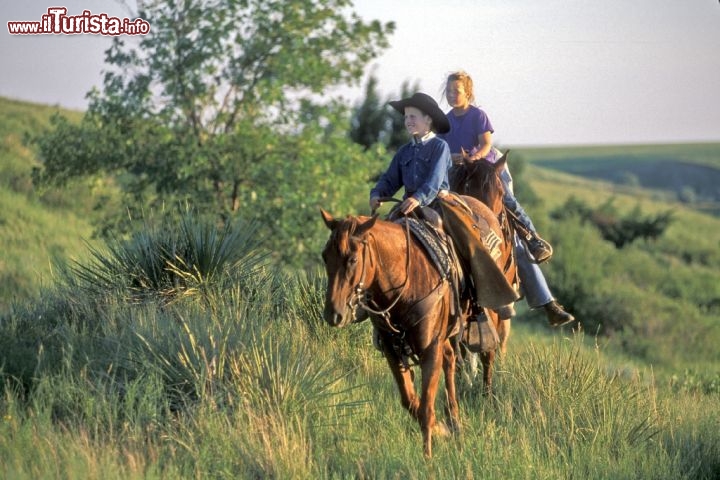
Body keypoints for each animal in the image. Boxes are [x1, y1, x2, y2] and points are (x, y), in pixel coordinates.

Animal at [320, 210, 462, 458]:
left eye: (353, 259)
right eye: (325, 257)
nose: (333, 314)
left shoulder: (430, 350)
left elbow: (426, 408)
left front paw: (428, 456)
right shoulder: (392, 351)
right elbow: (411, 401)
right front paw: (440, 431)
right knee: (449, 357)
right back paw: (452, 424)